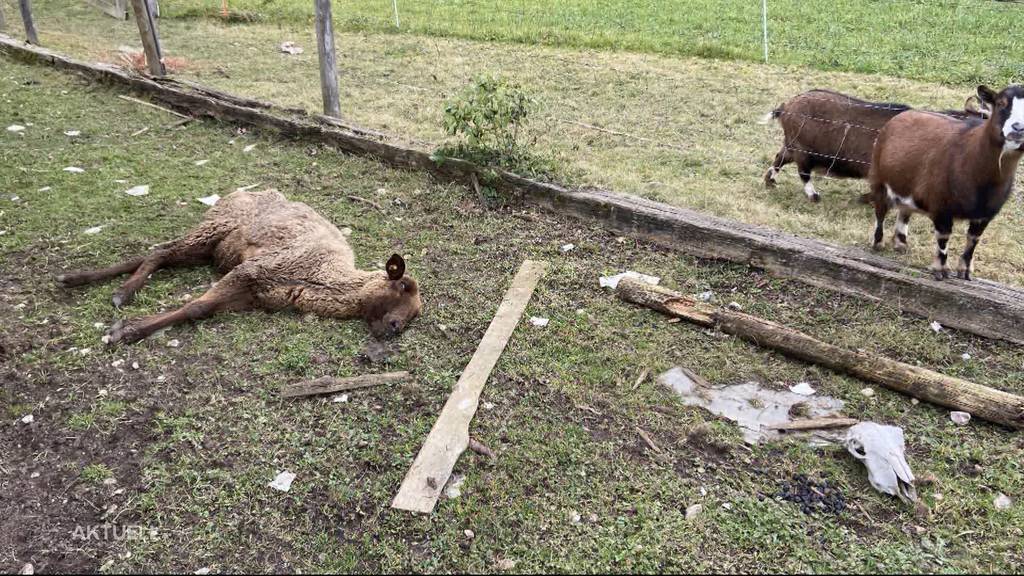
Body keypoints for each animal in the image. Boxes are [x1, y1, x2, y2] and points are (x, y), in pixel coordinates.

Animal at [55, 188, 423, 340]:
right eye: (401, 285)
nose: (395, 328)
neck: (320, 277)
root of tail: (239, 192)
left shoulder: (253, 294)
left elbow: (201, 309)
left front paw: (129, 327)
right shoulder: (251, 271)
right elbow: (195, 308)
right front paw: (127, 331)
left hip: (213, 247)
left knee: (156, 254)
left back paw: (79, 279)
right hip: (213, 229)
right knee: (160, 251)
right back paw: (121, 292)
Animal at [765, 87, 987, 199]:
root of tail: (786, 107)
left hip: (792, 144)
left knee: (779, 158)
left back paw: (770, 181)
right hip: (802, 150)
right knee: (803, 172)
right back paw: (813, 195)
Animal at [864, 85, 1024, 280]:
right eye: (1001, 103)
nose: (1018, 128)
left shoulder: (985, 215)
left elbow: (973, 241)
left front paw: (965, 271)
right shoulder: (941, 205)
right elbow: (943, 238)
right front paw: (941, 270)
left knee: (905, 210)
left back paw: (901, 244)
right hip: (878, 178)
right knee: (880, 210)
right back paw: (877, 243)